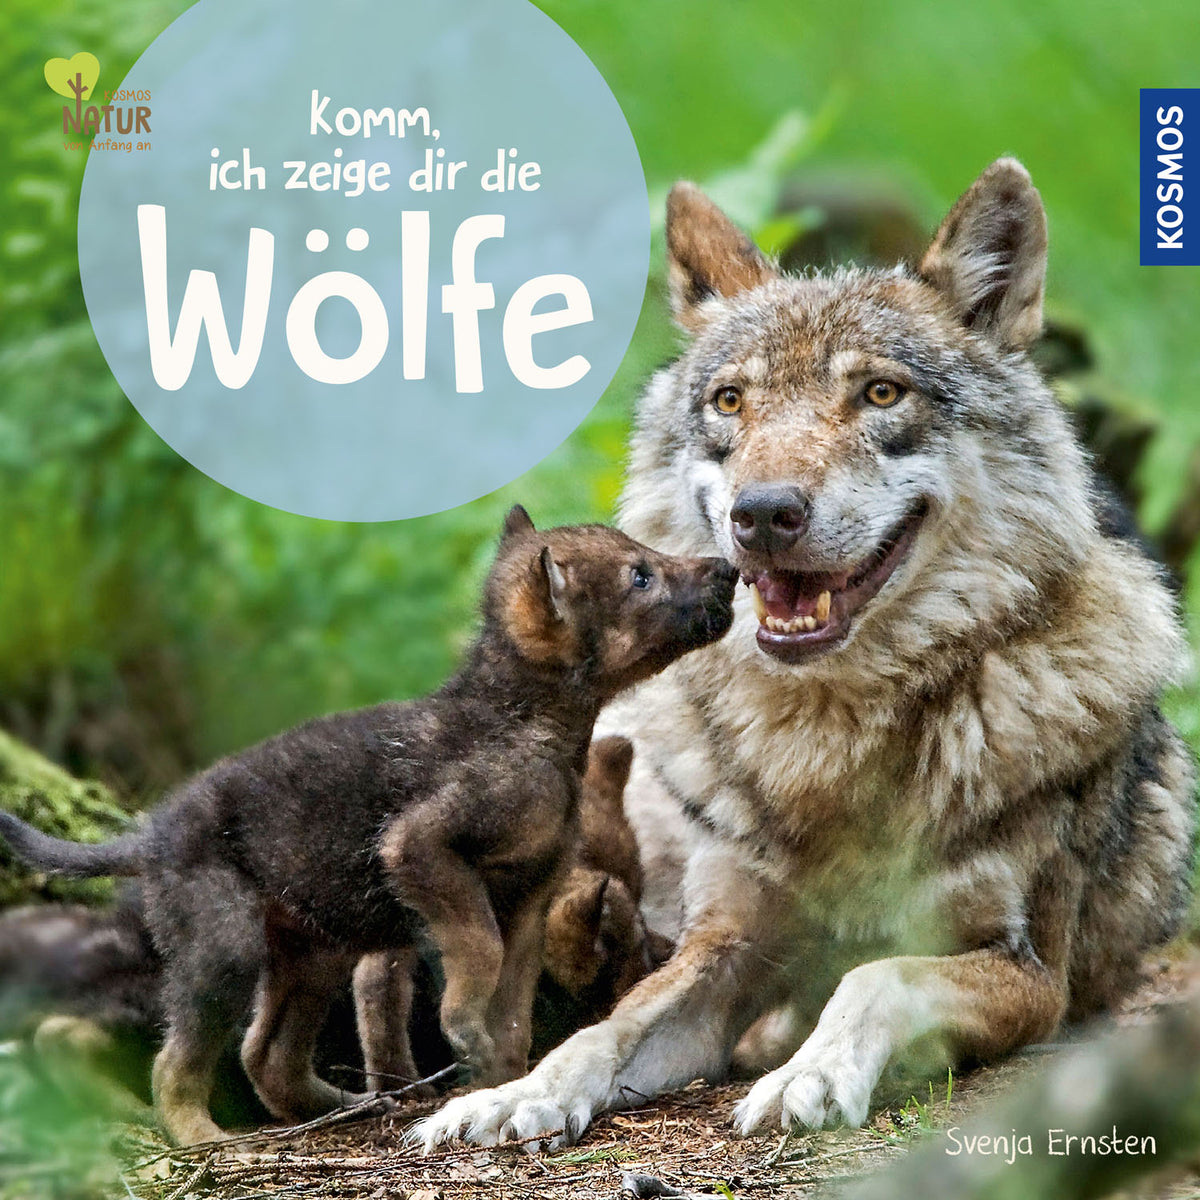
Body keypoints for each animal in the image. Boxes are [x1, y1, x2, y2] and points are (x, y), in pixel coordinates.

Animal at [0, 507, 736, 1144]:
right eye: (639, 575)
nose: (728, 568)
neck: (531, 732)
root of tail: (149, 835)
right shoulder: (420, 849)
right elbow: (477, 953)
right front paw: (464, 1031)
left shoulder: (532, 898)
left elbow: (517, 1010)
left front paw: (498, 1084)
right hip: (227, 947)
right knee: (174, 1062)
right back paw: (209, 1141)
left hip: (311, 952)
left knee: (265, 1054)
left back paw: (348, 1106)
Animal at [417, 159, 1195, 1151]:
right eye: (732, 401)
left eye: (880, 395)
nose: (764, 513)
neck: (825, 735)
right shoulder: (726, 943)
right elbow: (609, 1027)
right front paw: (513, 1095)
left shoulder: (1029, 977)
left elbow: (875, 975)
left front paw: (809, 1076)